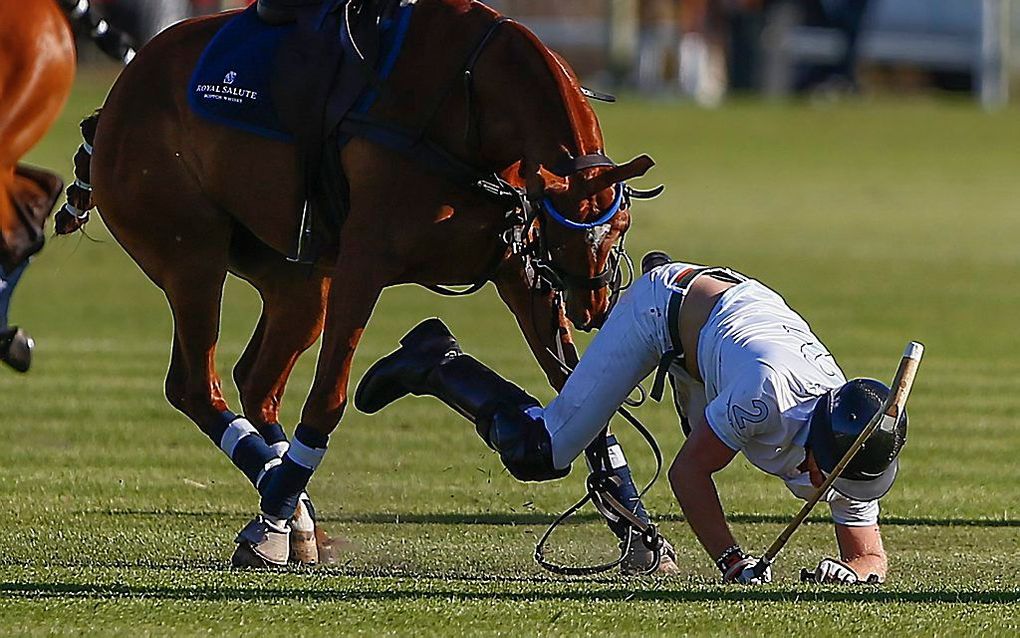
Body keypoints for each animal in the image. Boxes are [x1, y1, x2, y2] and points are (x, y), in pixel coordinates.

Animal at [57, 0, 669, 567]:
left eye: (621, 223)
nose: (594, 304)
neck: (470, 100)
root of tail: (115, 100)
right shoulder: (364, 263)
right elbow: (327, 399)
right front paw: (272, 516)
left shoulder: (519, 272)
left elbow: (581, 389)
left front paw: (637, 529)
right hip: (192, 257)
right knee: (194, 385)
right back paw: (277, 507)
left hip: (299, 281)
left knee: (257, 381)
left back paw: (295, 512)